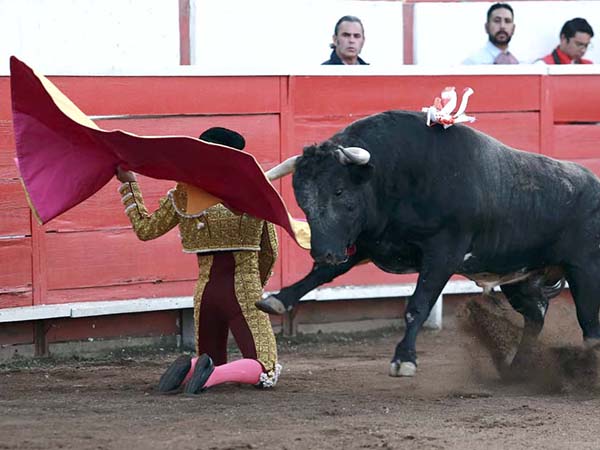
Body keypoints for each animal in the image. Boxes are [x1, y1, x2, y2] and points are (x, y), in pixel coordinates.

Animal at [255, 109, 600, 376]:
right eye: (302, 200)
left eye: (339, 191)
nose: (324, 252)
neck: (397, 176)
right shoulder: (368, 242)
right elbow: (321, 275)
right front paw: (277, 300)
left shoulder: (443, 253)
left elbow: (418, 304)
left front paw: (404, 360)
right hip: (521, 276)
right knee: (536, 316)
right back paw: (518, 372)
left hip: (584, 270)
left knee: (589, 326)